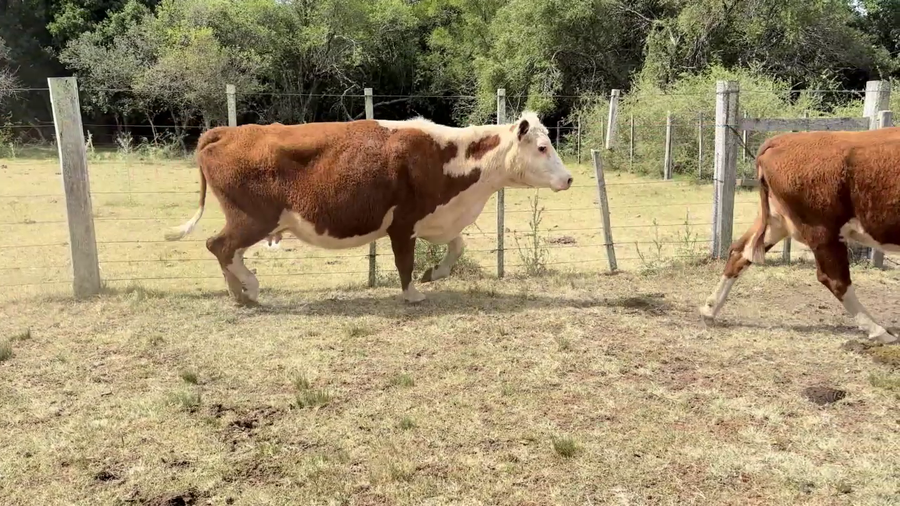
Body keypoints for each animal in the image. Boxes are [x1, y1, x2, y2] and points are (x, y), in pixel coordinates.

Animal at [164, 111, 573, 305]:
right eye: (542, 148)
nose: (568, 179)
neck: (445, 156)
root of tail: (228, 132)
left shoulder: (435, 219)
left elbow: (457, 246)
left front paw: (434, 274)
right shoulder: (403, 223)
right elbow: (404, 262)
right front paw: (413, 293)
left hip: (250, 220)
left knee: (226, 251)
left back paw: (240, 294)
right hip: (253, 218)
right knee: (220, 246)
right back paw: (249, 287)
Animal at [699, 126, 900, 345]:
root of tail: (782, 140)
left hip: (776, 221)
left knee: (739, 252)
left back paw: (709, 310)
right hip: (822, 229)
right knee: (835, 279)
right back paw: (880, 331)